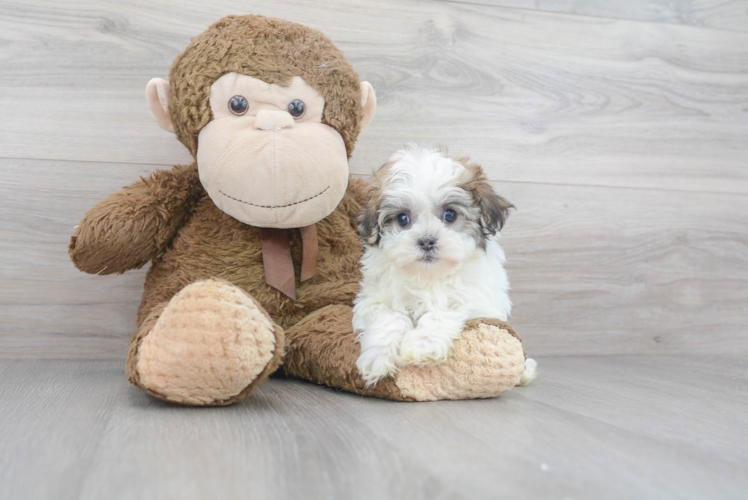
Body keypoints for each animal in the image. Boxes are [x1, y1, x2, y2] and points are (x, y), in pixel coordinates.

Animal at [352, 146, 536, 386]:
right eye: (402, 219)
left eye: (450, 214)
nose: (426, 241)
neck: (429, 275)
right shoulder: (371, 301)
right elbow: (391, 317)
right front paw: (376, 358)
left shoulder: (480, 303)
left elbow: (442, 312)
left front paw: (421, 346)